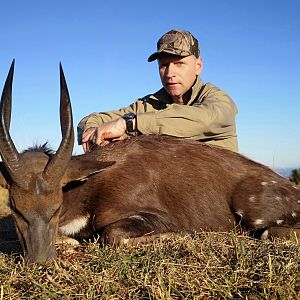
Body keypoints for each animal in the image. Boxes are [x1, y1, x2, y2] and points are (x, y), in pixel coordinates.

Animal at [0, 61, 300, 262]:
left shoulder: (154, 217)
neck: (88, 189)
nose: (40, 261)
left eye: (56, 207)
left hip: (251, 209)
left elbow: (112, 236)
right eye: (15, 208)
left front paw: (186, 234)